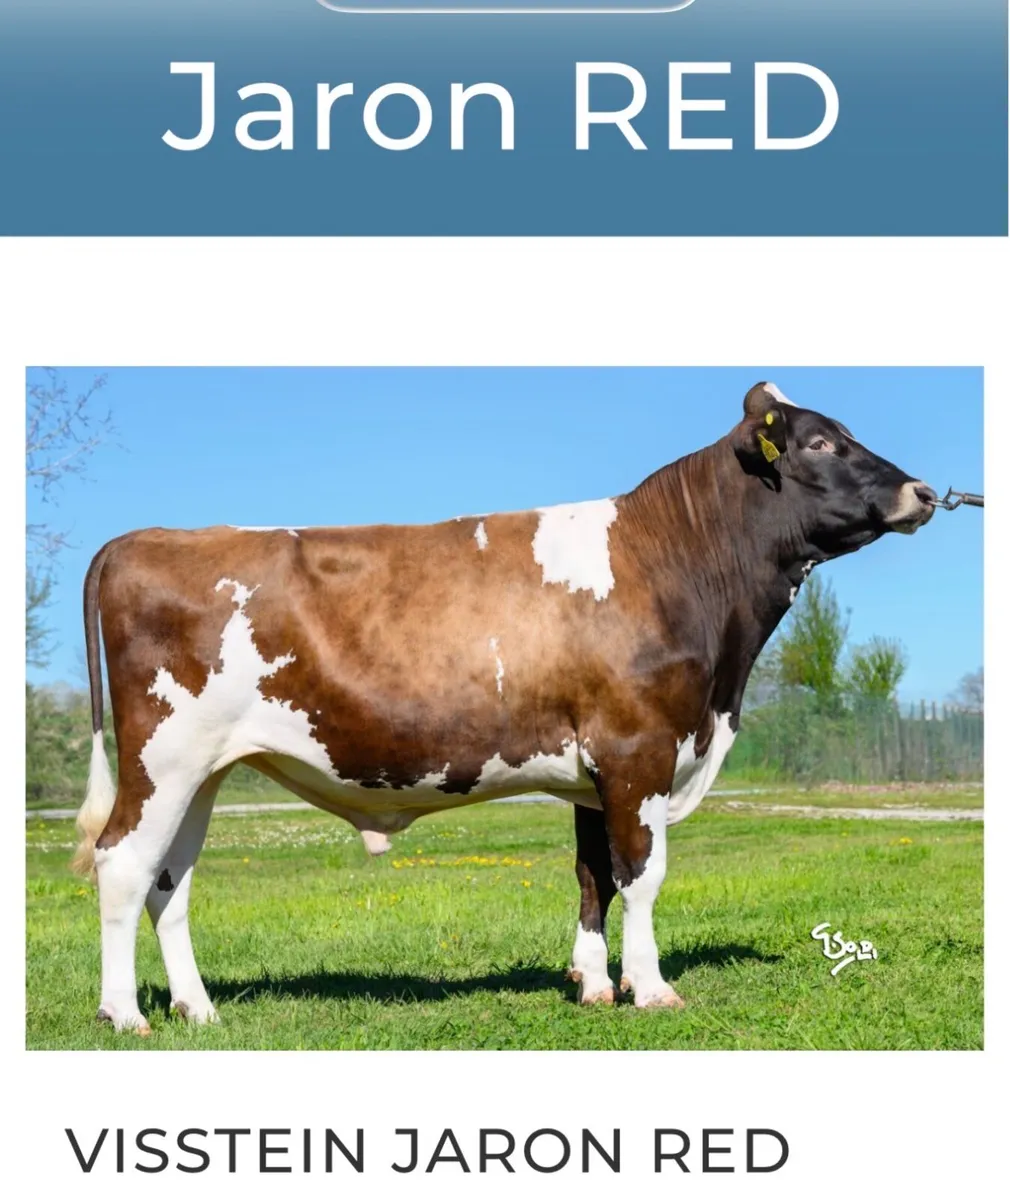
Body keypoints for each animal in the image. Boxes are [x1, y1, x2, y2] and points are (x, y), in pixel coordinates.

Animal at [72, 382, 937, 1033]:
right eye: (821, 444)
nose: (924, 491)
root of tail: (142, 538)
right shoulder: (639, 747)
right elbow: (641, 873)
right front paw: (652, 988)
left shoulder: (596, 768)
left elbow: (592, 876)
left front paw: (594, 984)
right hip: (163, 755)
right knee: (122, 863)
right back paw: (124, 1014)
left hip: (205, 769)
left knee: (170, 880)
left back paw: (198, 1008)